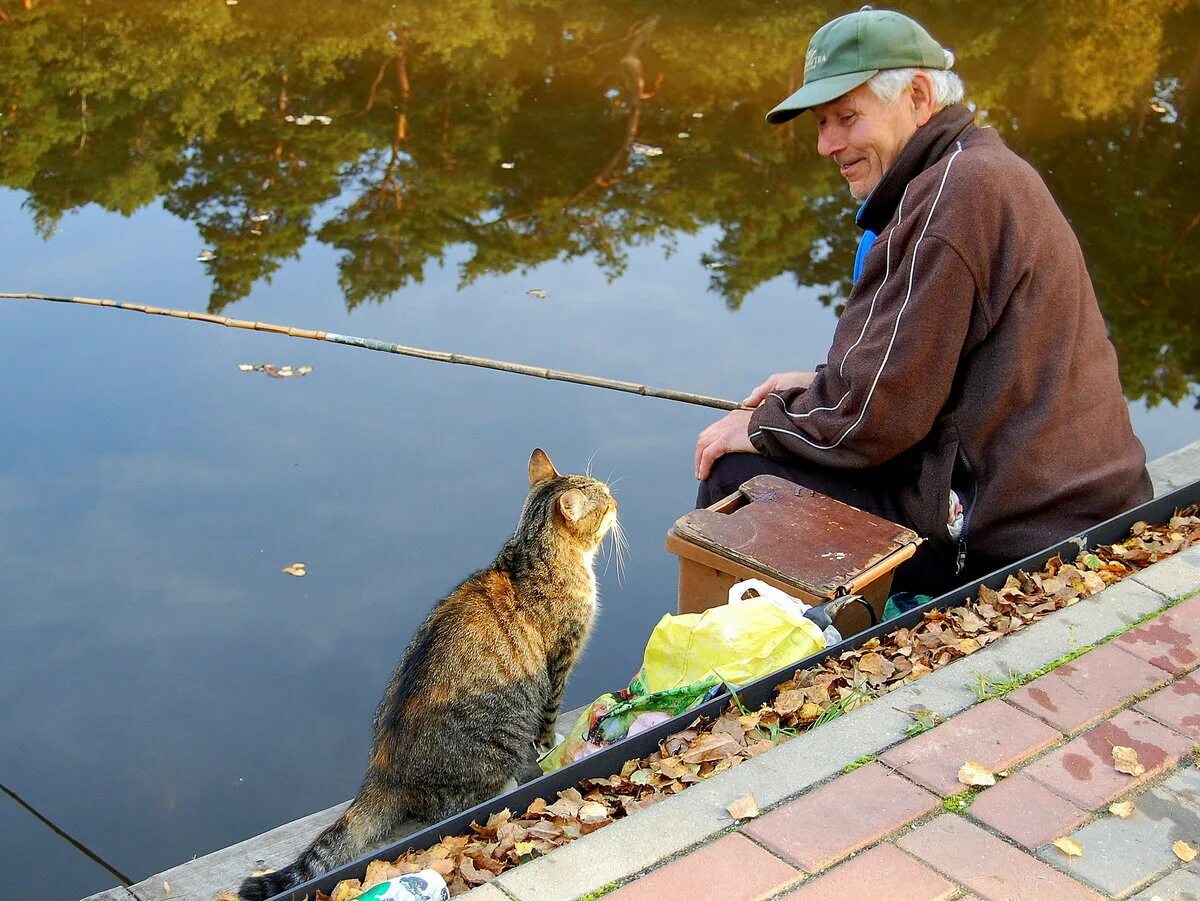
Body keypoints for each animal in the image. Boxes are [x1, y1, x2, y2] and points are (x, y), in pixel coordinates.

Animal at [240, 448, 624, 897]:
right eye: (604, 500)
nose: (617, 501)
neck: (530, 556)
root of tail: (382, 773)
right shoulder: (560, 661)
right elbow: (548, 718)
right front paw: (550, 744)